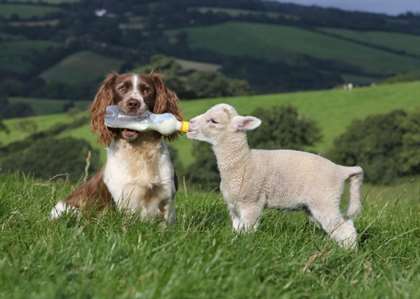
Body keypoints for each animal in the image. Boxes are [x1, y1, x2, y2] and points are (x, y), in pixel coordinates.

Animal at [50, 71, 182, 224]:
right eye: (122, 88)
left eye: (146, 90)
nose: (133, 103)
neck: (139, 151)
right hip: (70, 210)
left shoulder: (166, 196)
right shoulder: (125, 200)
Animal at [187, 104, 364, 250]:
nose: (190, 124)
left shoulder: (252, 202)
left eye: (214, 121)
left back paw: (349, 253)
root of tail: (341, 170)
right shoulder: (233, 206)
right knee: (339, 227)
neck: (243, 162)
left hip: (325, 199)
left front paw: (246, 247)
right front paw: (234, 243)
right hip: (315, 205)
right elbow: (237, 230)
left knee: (345, 228)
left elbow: (248, 230)